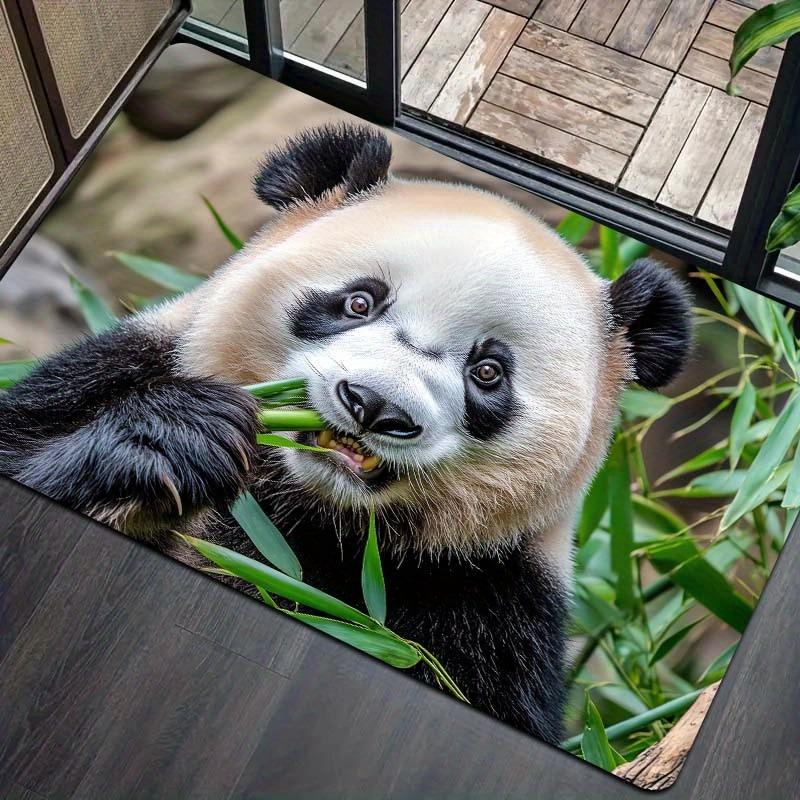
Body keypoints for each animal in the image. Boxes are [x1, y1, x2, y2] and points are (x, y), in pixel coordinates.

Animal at [0, 124, 691, 744]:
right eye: (360, 302)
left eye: (488, 372)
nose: (374, 405)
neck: (307, 509)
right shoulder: (111, 374)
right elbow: (30, 447)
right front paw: (174, 440)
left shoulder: (491, 597)